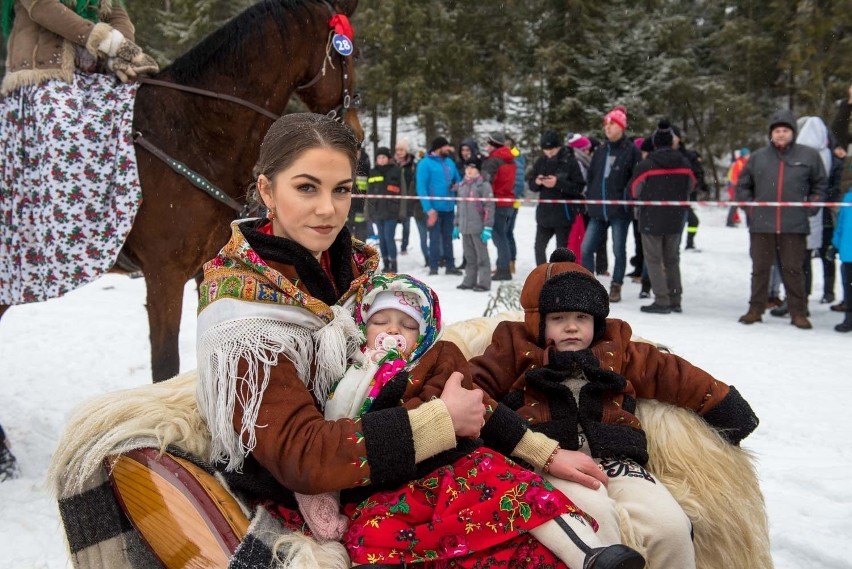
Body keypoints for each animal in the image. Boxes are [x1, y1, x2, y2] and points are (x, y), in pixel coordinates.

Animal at [0, 1, 362, 382]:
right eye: (350, 55)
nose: (357, 133)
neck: (190, 131)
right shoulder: (164, 277)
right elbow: (165, 368)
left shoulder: (205, 268)